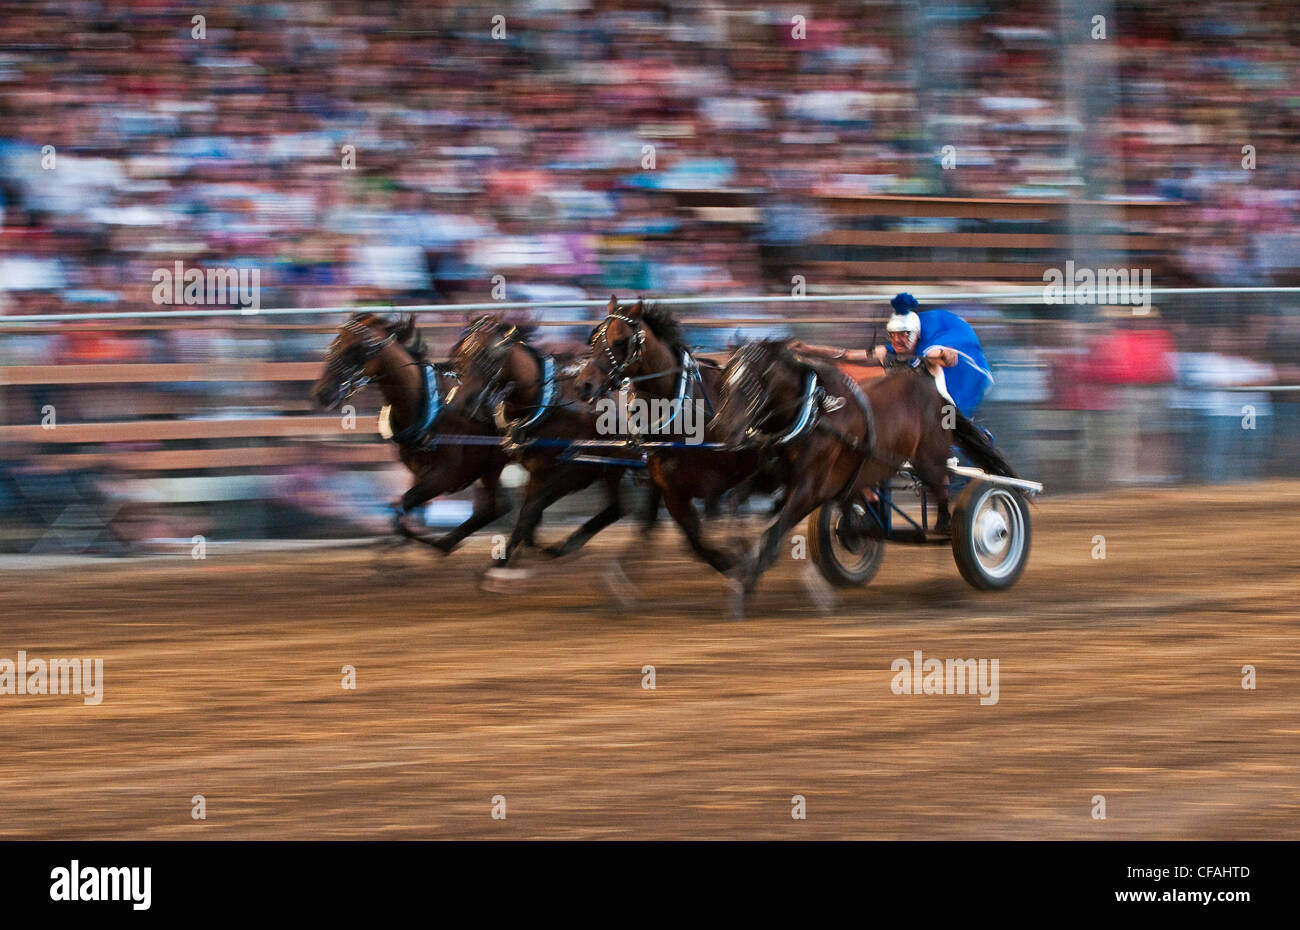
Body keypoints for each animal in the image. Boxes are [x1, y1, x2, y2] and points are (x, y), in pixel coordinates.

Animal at [312, 313, 509, 554]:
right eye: (335, 343)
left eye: (355, 349)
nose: (322, 393)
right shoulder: (419, 471)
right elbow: (405, 507)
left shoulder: (448, 475)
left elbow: (406, 503)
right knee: (496, 507)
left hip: (493, 465)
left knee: (494, 507)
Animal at [447, 313, 650, 574]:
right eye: (462, 353)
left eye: (488, 355)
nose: (461, 400)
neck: (543, 402)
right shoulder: (523, 464)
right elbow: (518, 509)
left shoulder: (557, 469)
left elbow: (529, 511)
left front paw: (500, 564)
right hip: (606, 468)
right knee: (615, 509)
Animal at [572, 297, 774, 574]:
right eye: (594, 340)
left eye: (620, 341)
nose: (583, 385)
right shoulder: (670, 487)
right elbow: (688, 535)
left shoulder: (719, 477)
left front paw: (737, 558)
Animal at [712, 345, 1013, 600]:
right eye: (724, 381)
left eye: (750, 386)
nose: (723, 430)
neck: (812, 414)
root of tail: (934, 390)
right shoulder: (774, 477)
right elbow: (735, 501)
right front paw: (736, 558)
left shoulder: (810, 488)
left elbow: (773, 534)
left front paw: (747, 582)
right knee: (857, 502)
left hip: (929, 458)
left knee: (943, 489)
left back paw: (947, 526)